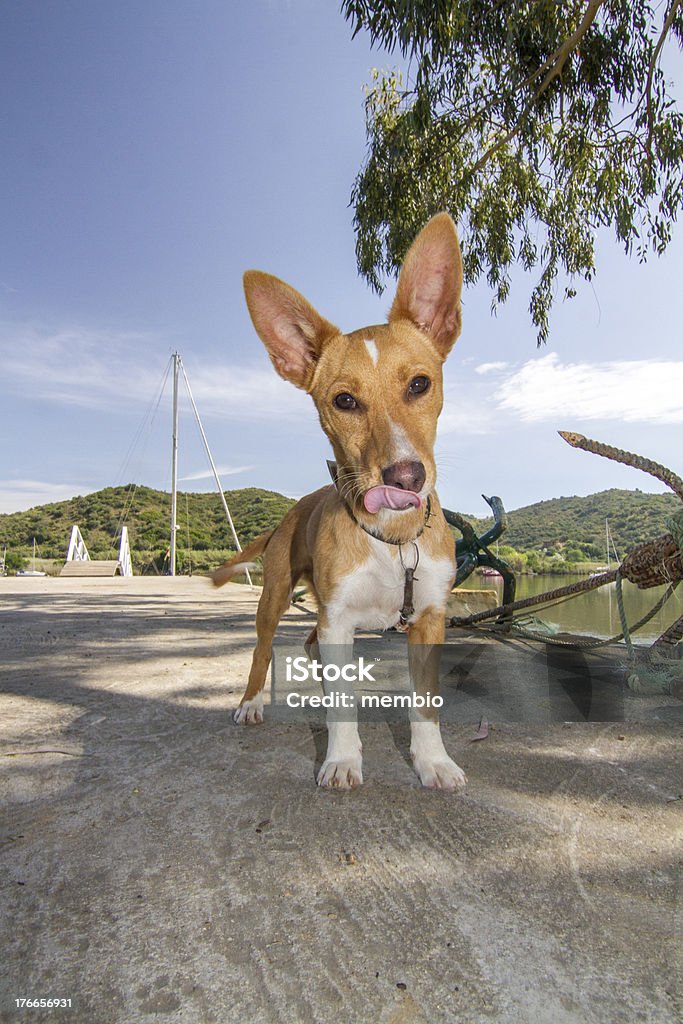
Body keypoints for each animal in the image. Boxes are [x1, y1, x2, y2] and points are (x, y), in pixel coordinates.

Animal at [216, 214, 466, 790]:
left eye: (420, 384)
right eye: (344, 400)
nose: (406, 477)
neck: (393, 542)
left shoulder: (428, 620)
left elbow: (425, 706)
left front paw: (433, 761)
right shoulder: (339, 620)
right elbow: (343, 707)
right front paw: (343, 759)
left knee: (310, 648)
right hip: (274, 598)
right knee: (263, 650)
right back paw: (253, 702)